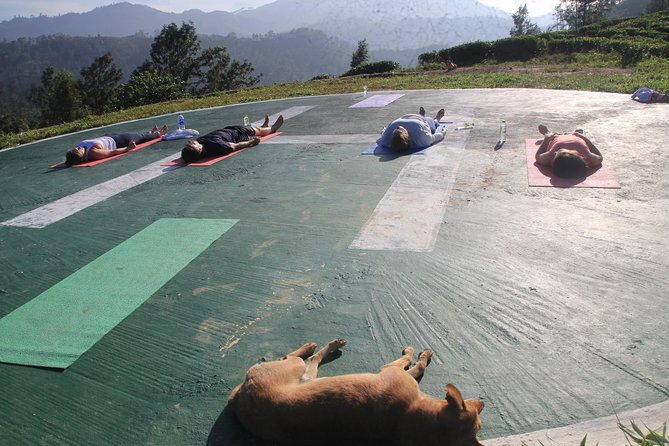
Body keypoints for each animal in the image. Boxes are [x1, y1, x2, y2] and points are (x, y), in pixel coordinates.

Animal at [227, 338, 482, 446]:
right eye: (475, 408)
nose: (483, 402)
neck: (409, 414)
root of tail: (237, 399)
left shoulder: (392, 370)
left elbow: (415, 364)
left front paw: (420, 355)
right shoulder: (392, 369)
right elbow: (412, 361)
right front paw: (419, 353)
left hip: (300, 372)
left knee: (305, 358)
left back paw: (320, 346)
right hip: (301, 374)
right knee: (302, 357)